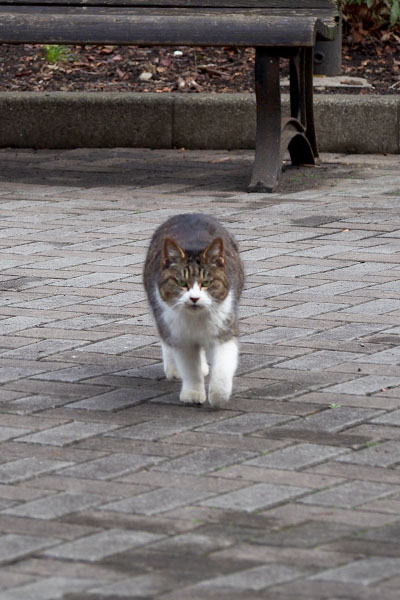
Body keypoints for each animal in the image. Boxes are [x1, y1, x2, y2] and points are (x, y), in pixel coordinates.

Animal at [144, 212, 244, 408]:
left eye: (207, 283)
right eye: (181, 283)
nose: (194, 298)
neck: (196, 319)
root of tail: (188, 214)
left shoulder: (225, 328)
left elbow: (223, 366)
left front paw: (218, 395)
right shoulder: (180, 338)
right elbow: (190, 369)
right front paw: (192, 393)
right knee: (166, 339)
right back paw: (174, 367)